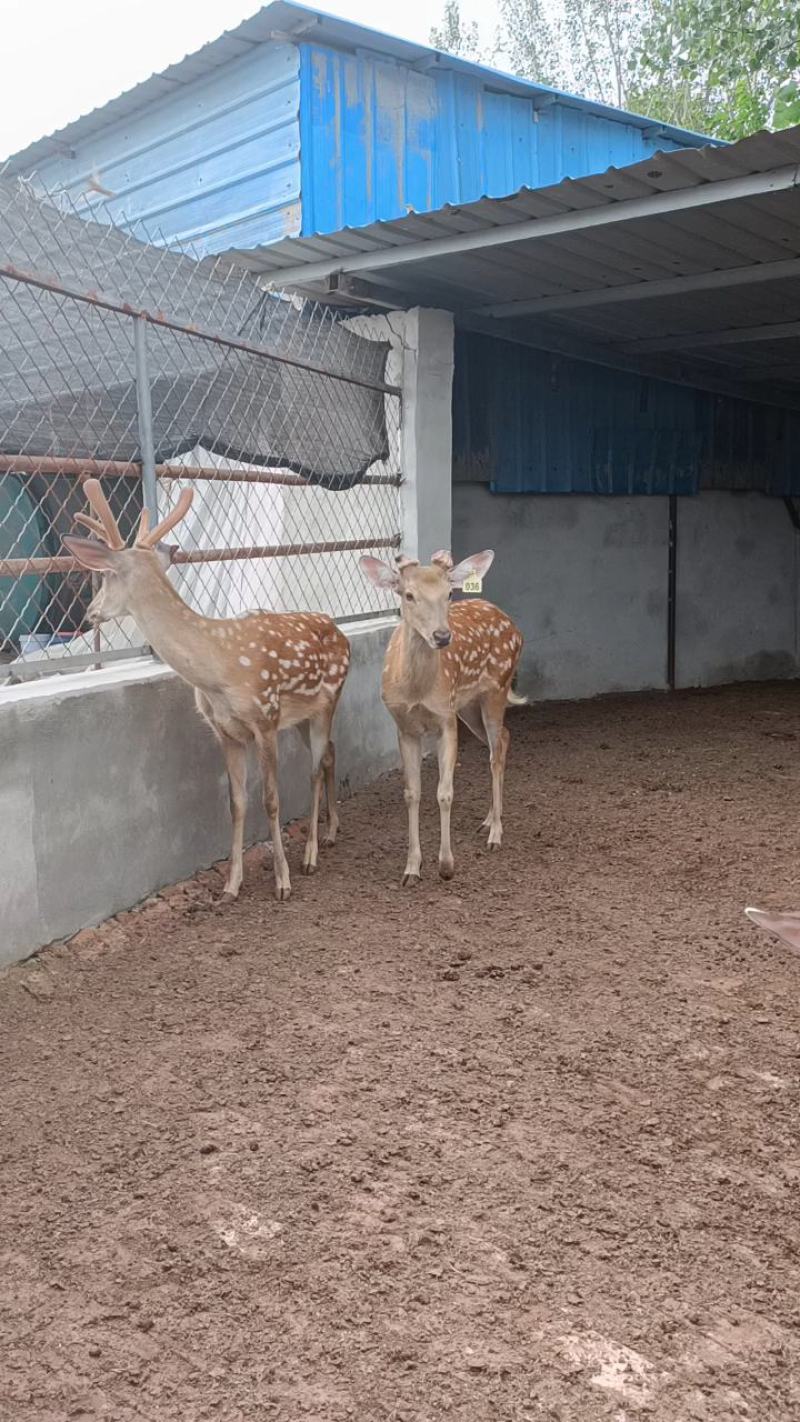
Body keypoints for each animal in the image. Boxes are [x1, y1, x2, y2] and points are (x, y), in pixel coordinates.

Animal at [63, 479, 351, 903]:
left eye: (108, 575)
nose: (89, 612)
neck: (217, 671)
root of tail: (341, 632)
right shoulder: (226, 731)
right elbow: (236, 803)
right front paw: (231, 886)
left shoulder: (265, 719)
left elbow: (271, 799)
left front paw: (282, 881)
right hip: (301, 717)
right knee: (329, 752)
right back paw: (331, 832)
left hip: (329, 699)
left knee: (315, 767)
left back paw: (311, 855)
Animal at [360, 548, 525, 886]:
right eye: (408, 594)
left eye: (449, 593)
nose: (442, 636)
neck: (417, 691)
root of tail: (513, 625)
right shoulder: (404, 727)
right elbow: (412, 793)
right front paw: (411, 867)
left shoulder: (446, 720)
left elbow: (445, 793)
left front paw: (446, 864)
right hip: (469, 706)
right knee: (502, 739)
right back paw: (488, 820)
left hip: (496, 689)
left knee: (497, 749)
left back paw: (496, 833)